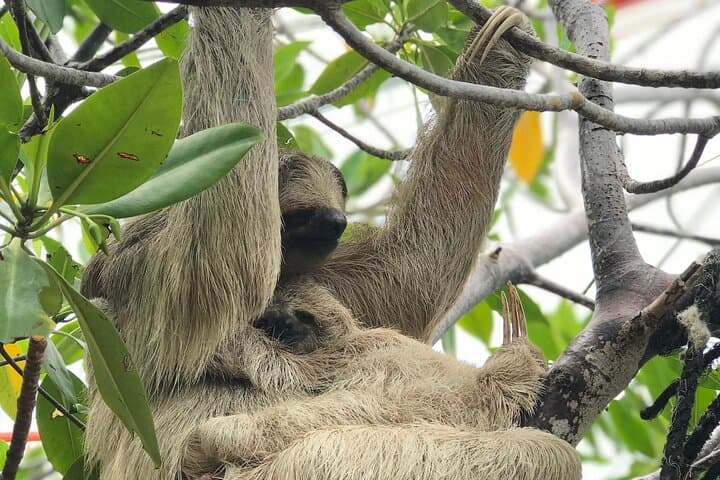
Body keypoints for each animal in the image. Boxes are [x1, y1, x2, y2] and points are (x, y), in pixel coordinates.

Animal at [80, 5, 581, 479]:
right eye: (300, 217)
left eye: (335, 220)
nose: (333, 223)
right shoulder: (148, 275)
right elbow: (227, 259)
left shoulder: (331, 284)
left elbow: (413, 270)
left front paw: (496, 46)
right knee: (544, 456)